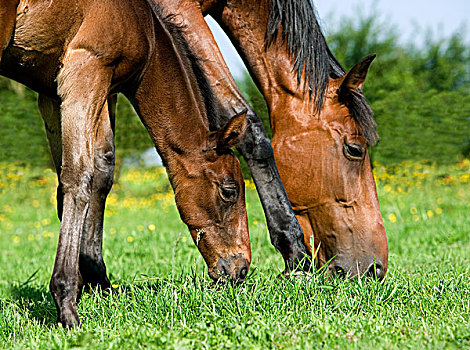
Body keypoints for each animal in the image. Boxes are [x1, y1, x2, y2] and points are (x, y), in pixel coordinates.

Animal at [0, 0, 253, 328]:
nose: (241, 268)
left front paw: (89, 283)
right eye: (229, 191)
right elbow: (79, 178)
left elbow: (77, 181)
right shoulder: (87, 70)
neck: (142, 24)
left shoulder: (51, 95)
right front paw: (67, 304)